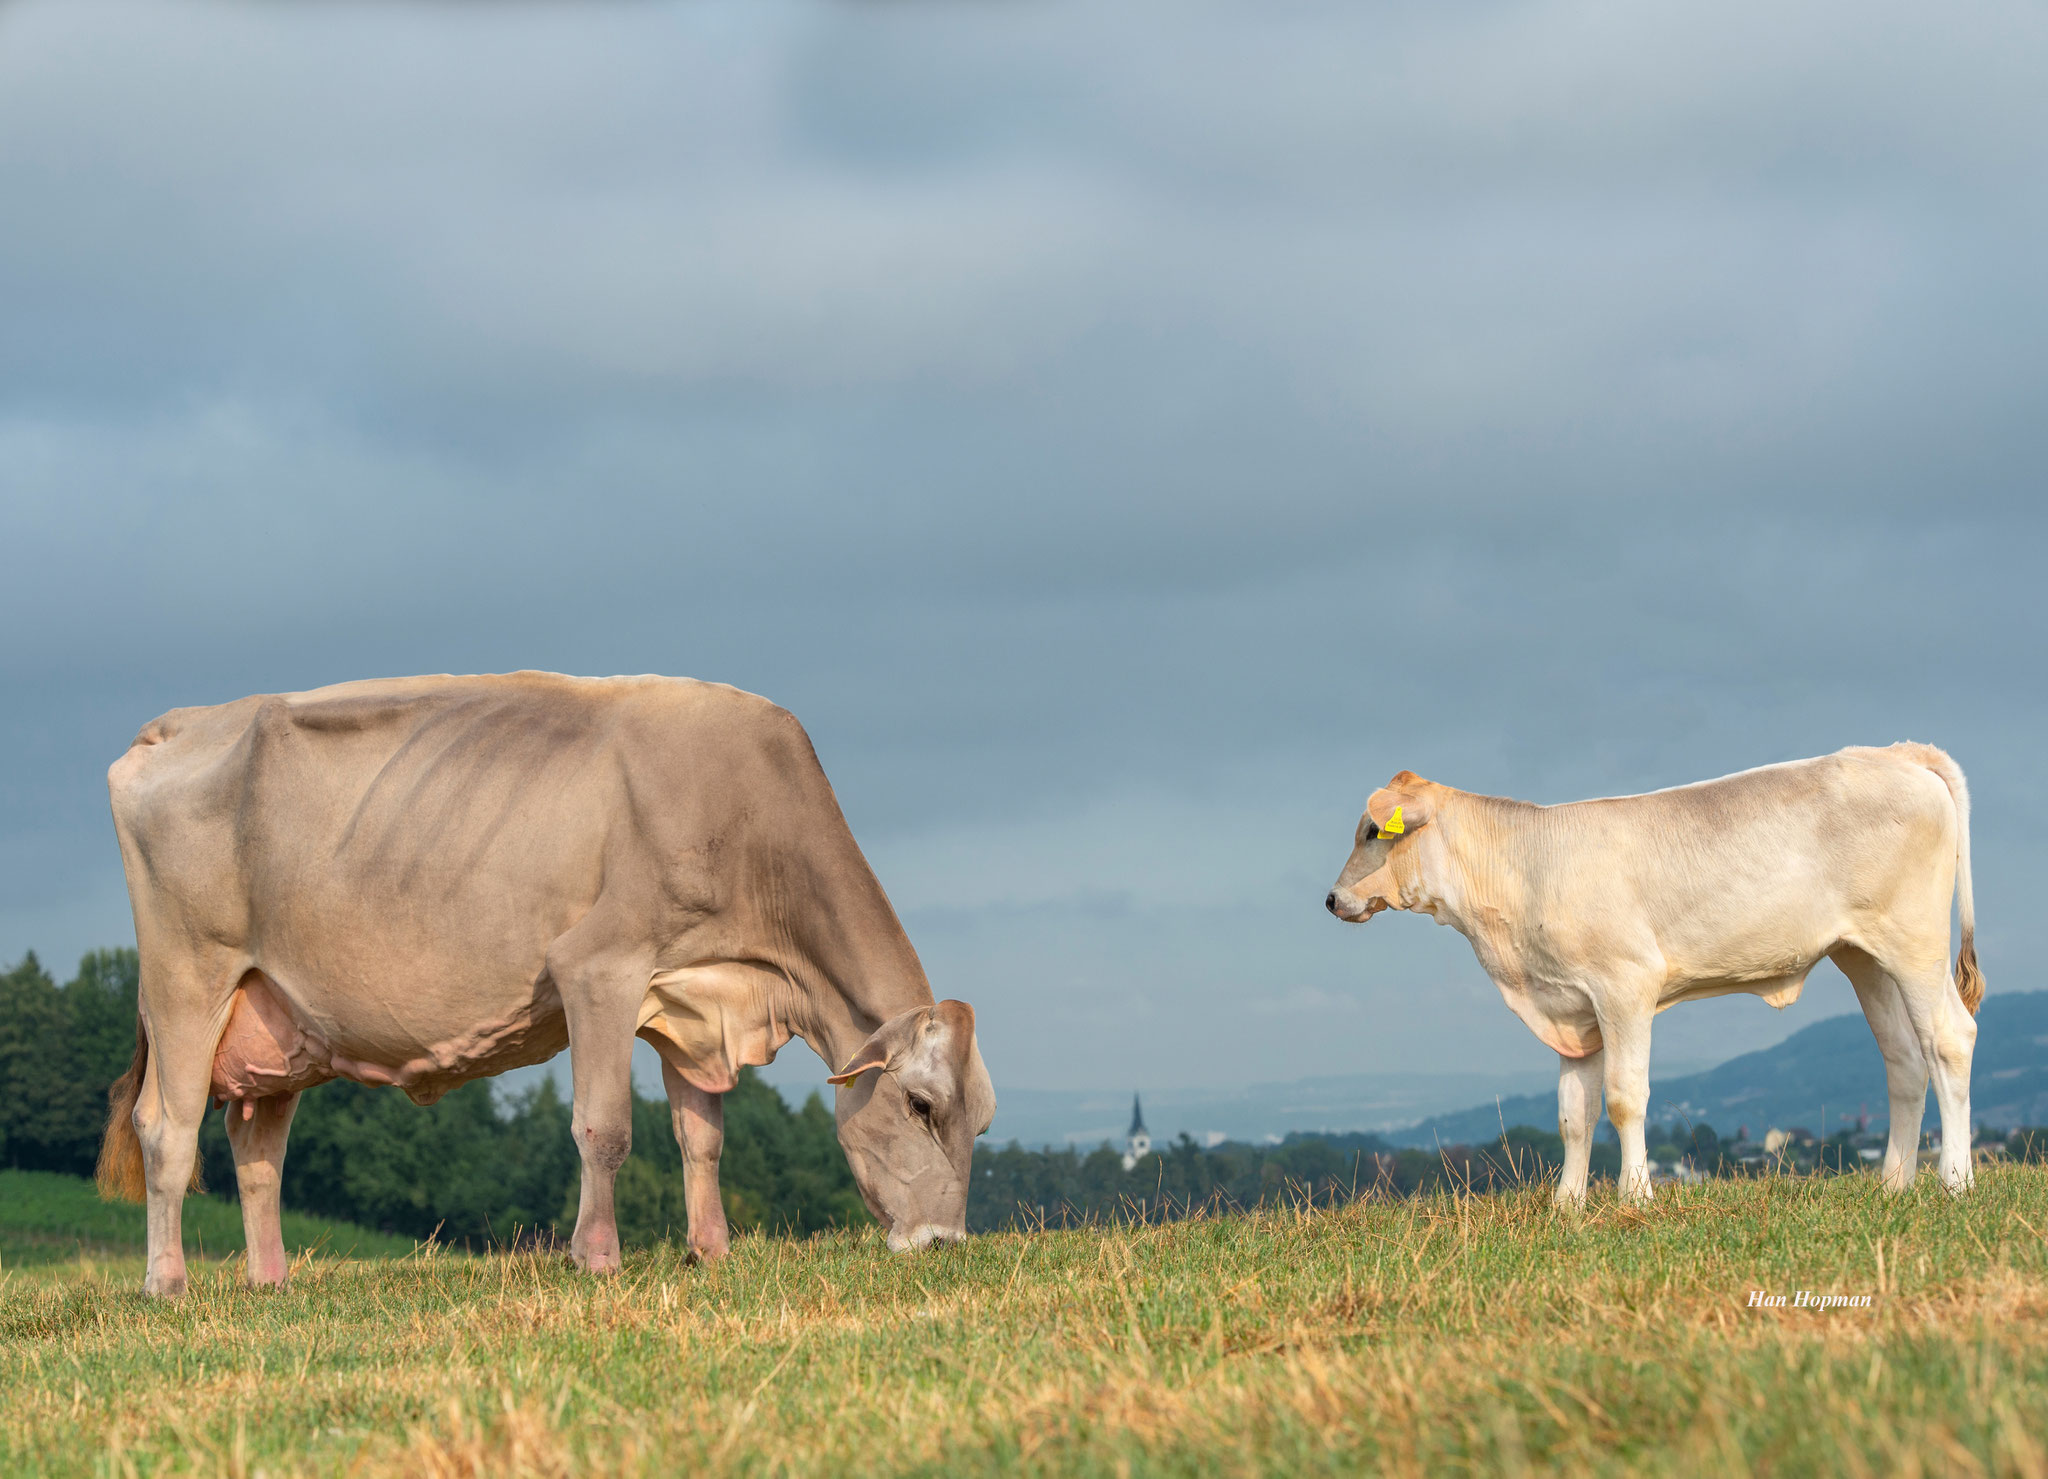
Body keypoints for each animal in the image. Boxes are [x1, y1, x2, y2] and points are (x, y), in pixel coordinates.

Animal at [99, 667, 995, 1294]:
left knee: (257, 1150)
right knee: (166, 1128)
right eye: (920, 1103)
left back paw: (270, 1281)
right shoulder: (598, 966)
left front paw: (711, 1251)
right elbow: (605, 1129)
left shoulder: (692, 1001)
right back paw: (167, 1283)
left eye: (981, 1121)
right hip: (187, 973)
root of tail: (178, 724)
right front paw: (596, 1257)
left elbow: (702, 1137)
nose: (944, 1243)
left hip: (276, 1017)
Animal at [1327, 741, 1982, 1204]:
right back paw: (1893, 1184)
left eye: (1371, 830)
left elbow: (1624, 1098)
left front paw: (1635, 1195)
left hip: (1915, 941)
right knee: (1904, 1058)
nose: (1332, 899)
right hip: (1864, 956)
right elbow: (1573, 1113)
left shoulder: (1624, 986)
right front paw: (1567, 1204)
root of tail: (1896, 752)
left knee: (1949, 1039)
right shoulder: (1572, 1009)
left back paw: (1954, 1180)